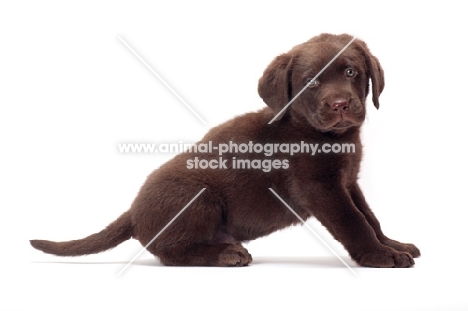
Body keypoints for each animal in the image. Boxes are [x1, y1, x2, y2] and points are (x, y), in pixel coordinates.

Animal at [31, 33, 422, 268]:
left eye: (351, 72)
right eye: (311, 82)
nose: (340, 104)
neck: (329, 135)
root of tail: (132, 211)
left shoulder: (347, 182)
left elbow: (370, 217)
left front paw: (393, 244)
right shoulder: (321, 187)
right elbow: (355, 222)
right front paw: (380, 255)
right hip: (198, 197)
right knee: (169, 252)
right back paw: (226, 254)